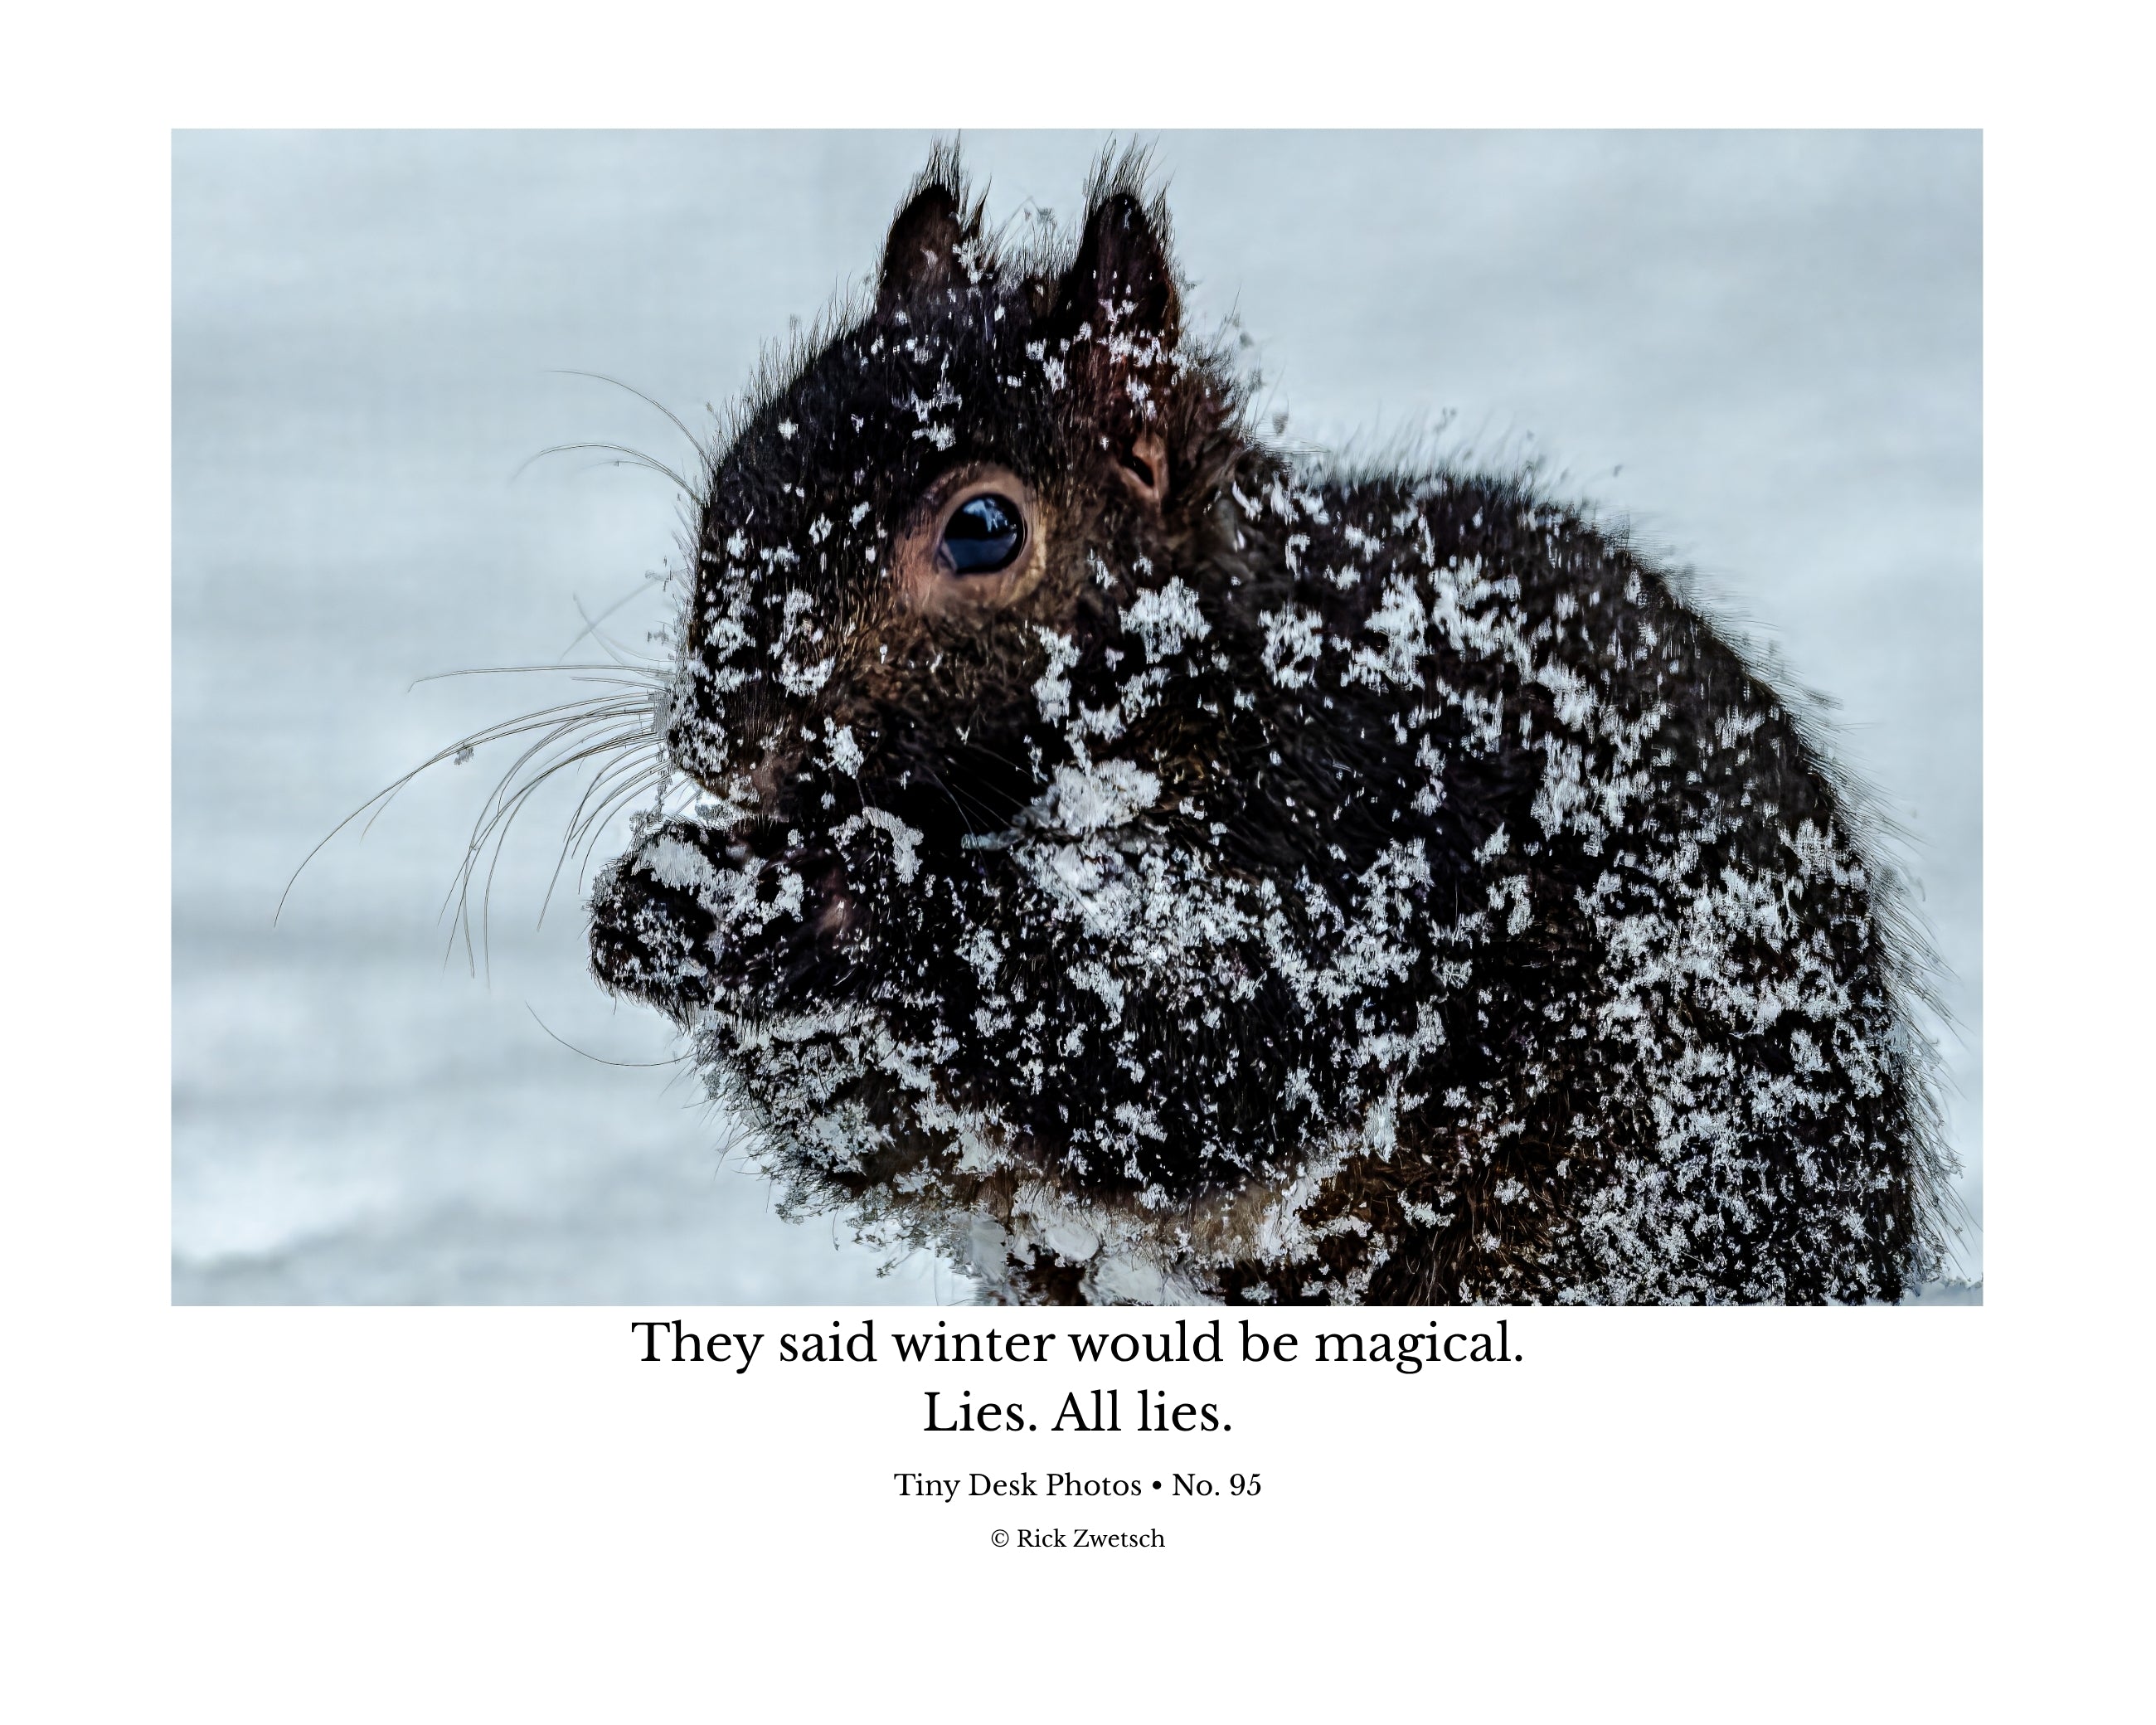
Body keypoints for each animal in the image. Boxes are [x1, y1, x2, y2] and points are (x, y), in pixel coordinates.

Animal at [585, 143, 1954, 1305]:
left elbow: (1183, 1044)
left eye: (981, 527)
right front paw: (660, 902)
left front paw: (817, 895)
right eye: (739, 467)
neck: (1208, 682)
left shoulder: (1361, 835)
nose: (719, 735)